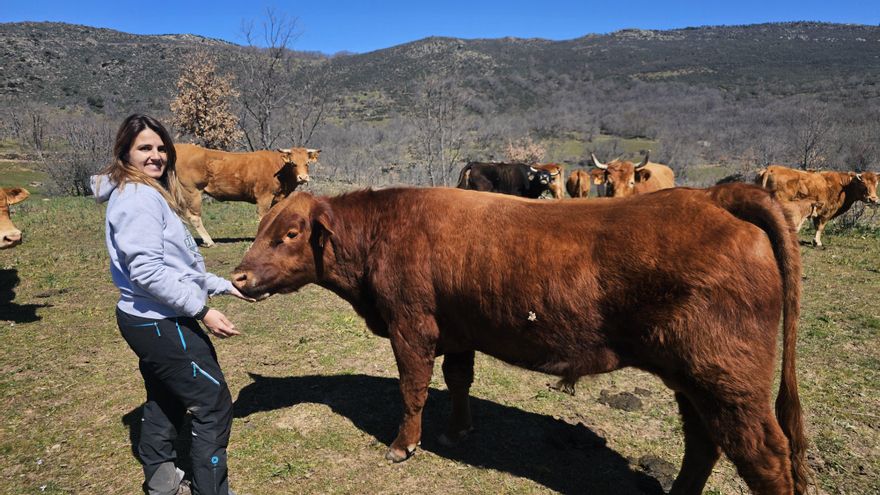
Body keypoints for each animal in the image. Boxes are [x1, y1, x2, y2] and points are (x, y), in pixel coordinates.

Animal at [175, 143, 320, 247]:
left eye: (307, 163)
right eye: (293, 163)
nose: (303, 177)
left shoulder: (277, 199)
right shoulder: (264, 197)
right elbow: (263, 217)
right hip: (192, 192)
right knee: (194, 217)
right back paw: (209, 241)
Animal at [232, 183, 809, 494]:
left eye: (289, 234)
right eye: (261, 229)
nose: (237, 277)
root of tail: (715, 195)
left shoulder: (410, 326)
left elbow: (413, 389)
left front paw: (404, 446)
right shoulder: (456, 329)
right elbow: (458, 380)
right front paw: (457, 431)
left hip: (726, 379)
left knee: (764, 454)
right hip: (693, 379)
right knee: (704, 442)